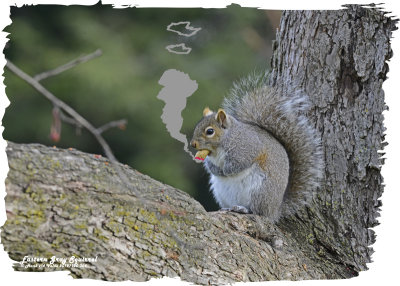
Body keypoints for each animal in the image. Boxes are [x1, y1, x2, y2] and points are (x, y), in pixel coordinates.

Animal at [191, 73, 324, 221]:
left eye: (210, 131)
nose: (193, 144)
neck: (218, 149)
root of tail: (275, 210)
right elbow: (210, 166)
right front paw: (217, 170)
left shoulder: (247, 148)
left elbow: (239, 164)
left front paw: (226, 170)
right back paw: (230, 208)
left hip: (260, 192)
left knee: (258, 211)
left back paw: (244, 209)